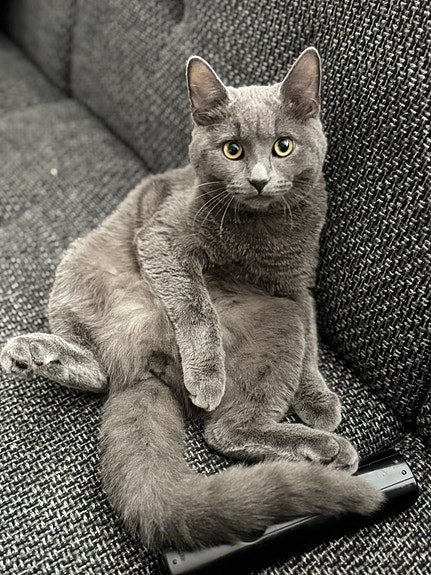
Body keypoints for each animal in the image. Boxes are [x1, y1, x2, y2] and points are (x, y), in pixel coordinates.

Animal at [0, 48, 383, 551]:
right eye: (232, 149)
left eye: (283, 146)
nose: (259, 180)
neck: (257, 231)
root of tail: (144, 361)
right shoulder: (164, 239)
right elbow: (195, 305)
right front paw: (207, 378)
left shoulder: (298, 285)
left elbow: (313, 350)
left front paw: (318, 400)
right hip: (82, 266)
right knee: (214, 426)